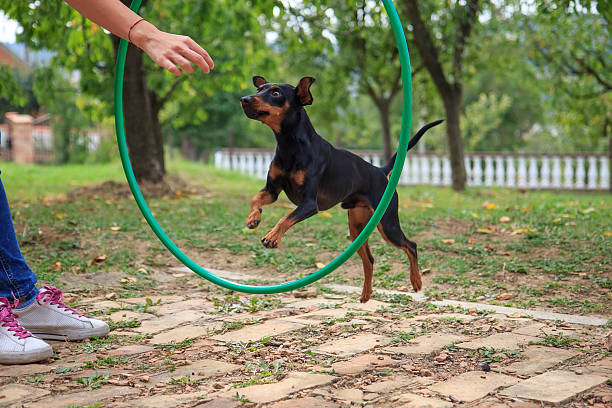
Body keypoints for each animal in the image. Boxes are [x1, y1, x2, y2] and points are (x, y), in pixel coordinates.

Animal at [241, 75, 442, 302]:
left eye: (275, 93)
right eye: (259, 89)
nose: (244, 99)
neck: (290, 145)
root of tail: (380, 171)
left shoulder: (309, 204)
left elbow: (285, 218)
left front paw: (272, 236)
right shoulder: (272, 190)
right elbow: (256, 198)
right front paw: (254, 218)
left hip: (387, 224)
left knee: (411, 246)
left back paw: (416, 281)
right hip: (357, 229)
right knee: (369, 260)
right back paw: (366, 294)